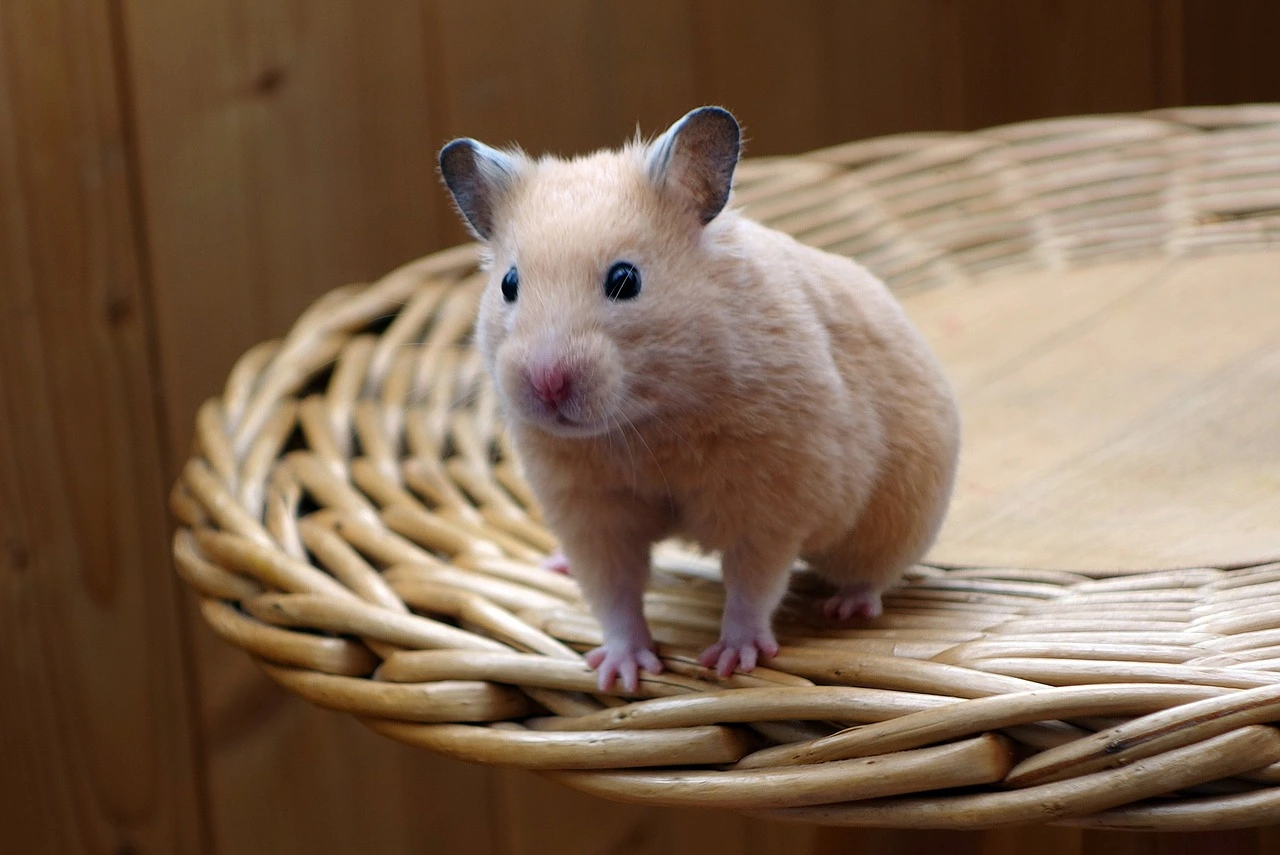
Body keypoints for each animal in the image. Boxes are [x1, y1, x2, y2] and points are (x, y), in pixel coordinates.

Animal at [439, 107, 960, 693]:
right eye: (509, 284)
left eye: (625, 279)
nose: (546, 382)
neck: (645, 421)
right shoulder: (588, 512)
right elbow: (613, 594)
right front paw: (622, 674)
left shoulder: (771, 502)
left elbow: (752, 585)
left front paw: (730, 663)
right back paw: (555, 567)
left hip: (896, 517)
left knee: (872, 573)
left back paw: (847, 609)